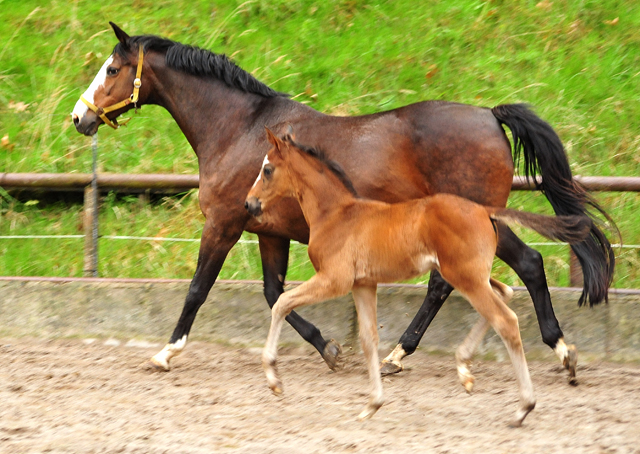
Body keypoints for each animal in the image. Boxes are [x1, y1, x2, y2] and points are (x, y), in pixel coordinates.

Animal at [71, 23, 616, 382]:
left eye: (113, 68)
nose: (79, 117)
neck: (239, 129)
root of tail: (489, 115)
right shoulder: (268, 230)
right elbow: (274, 293)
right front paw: (330, 348)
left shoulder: (224, 223)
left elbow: (198, 290)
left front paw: (166, 352)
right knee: (478, 276)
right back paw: (405, 355)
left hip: (476, 221)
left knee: (514, 266)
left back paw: (554, 352)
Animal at [244, 129, 592, 428]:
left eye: (267, 169)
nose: (249, 203)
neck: (337, 214)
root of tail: (484, 211)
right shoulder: (363, 284)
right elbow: (368, 339)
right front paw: (372, 405)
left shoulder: (334, 279)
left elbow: (282, 302)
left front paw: (274, 380)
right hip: (471, 274)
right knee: (505, 293)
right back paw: (465, 369)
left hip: (464, 275)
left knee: (505, 319)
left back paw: (523, 407)